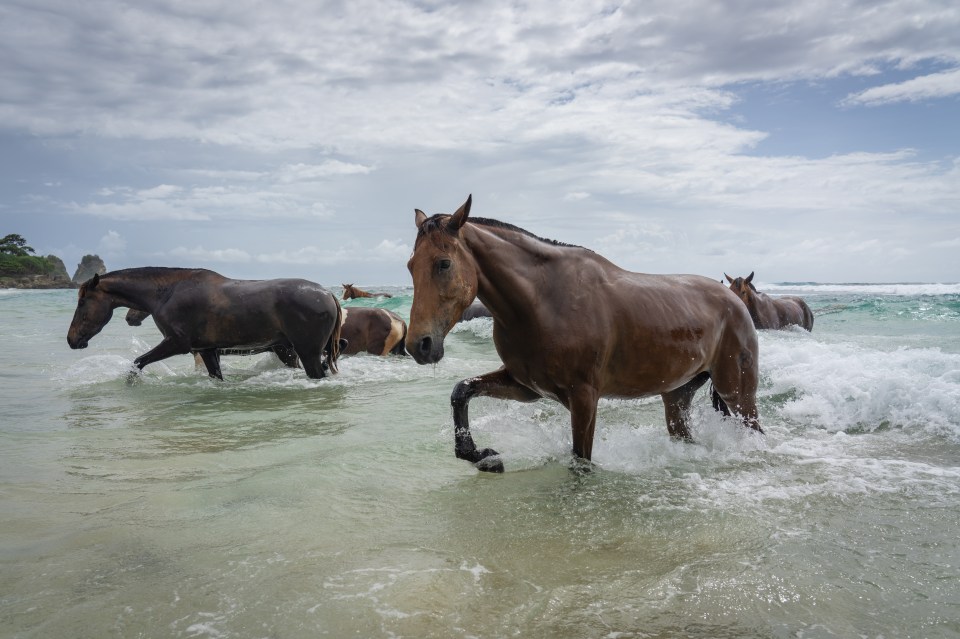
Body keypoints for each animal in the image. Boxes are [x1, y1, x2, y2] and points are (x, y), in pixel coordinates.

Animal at [64, 266, 342, 380]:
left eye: (82, 302)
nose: (72, 339)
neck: (167, 293)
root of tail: (328, 294)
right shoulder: (206, 350)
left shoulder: (177, 344)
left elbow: (138, 363)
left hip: (306, 352)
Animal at [402, 192, 760, 472]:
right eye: (410, 266)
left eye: (444, 263)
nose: (420, 345)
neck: (544, 302)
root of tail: (733, 299)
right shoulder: (526, 386)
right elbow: (462, 391)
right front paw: (482, 456)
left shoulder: (584, 397)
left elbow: (580, 461)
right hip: (677, 395)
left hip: (738, 394)